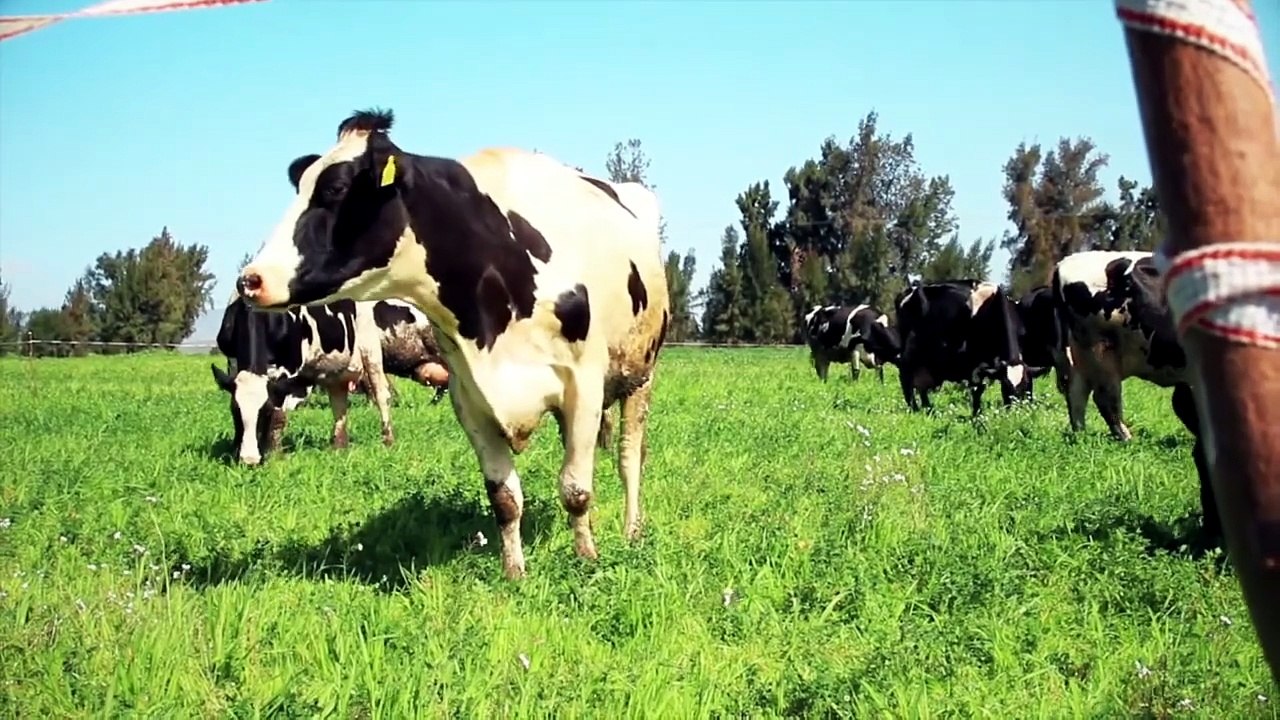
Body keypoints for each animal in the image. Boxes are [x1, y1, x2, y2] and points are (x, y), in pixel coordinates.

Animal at [210, 293, 449, 465]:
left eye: (265, 411)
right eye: (236, 411)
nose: (249, 460)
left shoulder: (289, 373)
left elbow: (280, 416)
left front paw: (274, 454)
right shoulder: (234, 364)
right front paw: (235, 448)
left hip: (371, 351)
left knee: (382, 395)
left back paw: (388, 439)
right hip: (336, 369)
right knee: (339, 403)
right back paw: (339, 447)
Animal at [893, 279, 1031, 415]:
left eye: (1025, 386)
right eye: (1006, 387)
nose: (1015, 411)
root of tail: (910, 291)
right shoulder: (973, 363)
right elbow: (977, 390)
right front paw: (977, 415)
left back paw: (928, 409)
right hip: (910, 353)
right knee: (905, 376)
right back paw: (914, 408)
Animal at [1051, 249, 1217, 543]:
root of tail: (1064, 263)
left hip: (1080, 355)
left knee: (1077, 396)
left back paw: (1081, 435)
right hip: (1100, 350)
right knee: (1106, 402)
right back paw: (1127, 439)